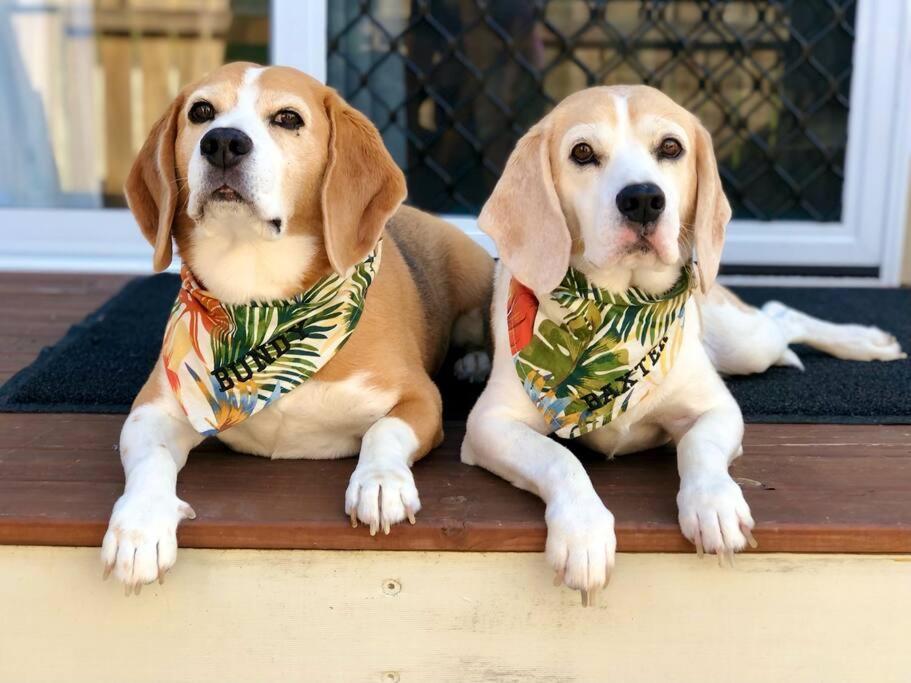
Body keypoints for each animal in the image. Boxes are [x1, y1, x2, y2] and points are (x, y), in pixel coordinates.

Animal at [101, 61, 492, 592]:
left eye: (288, 118)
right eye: (201, 112)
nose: (223, 142)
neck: (261, 303)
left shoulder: (420, 399)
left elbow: (384, 431)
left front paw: (380, 482)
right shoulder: (152, 410)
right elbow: (151, 459)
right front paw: (141, 524)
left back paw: (475, 362)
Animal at [464, 85, 904, 604]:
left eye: (671, 147)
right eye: (582, 153)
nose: (642, 199)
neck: (620, 311)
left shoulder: (719, 409)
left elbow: (698, 445)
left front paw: (713, 503)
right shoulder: (488, 425)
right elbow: (560, 458)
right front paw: (583, 530)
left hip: (744, 343)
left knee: (782, 314)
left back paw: (867, 341)